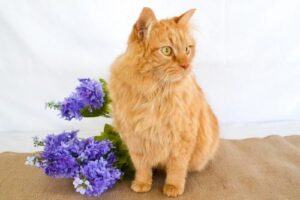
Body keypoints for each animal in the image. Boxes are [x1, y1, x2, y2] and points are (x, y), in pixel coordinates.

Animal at [109, 7, 219, 197]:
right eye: (167, 51)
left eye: (187, 49)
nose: (186, 65)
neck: (154, 94)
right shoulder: (135, 139)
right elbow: (142, 167)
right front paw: (142, 183)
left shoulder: (182, 138)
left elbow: (177, 168)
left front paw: (173, 187)